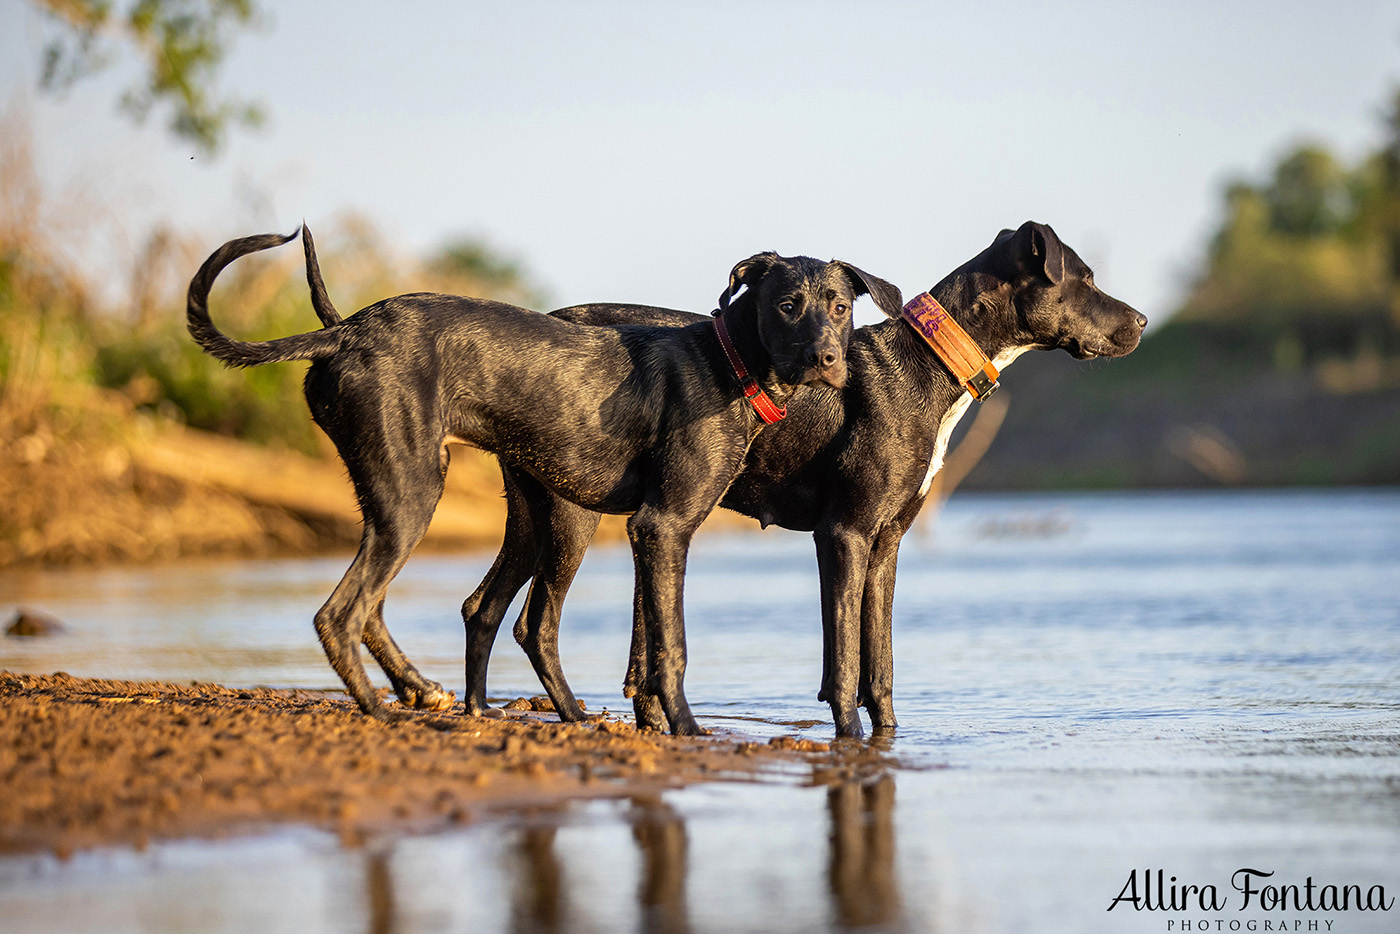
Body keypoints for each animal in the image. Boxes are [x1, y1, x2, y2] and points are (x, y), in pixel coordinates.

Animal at [186, 224, 896, 728]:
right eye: (787, 305)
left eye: (840, 307)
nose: (828, 359)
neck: (729, 361)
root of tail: (345, 331)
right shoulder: (664, 527)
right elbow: (670, 647)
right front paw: (689, 732)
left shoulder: (649, 534)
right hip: (437, 498)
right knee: (346, 614)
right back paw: (383, 710)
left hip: (449, 505)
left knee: (449, 610)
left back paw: (471, 703)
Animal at [422, 219, 1136, 739]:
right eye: (1086, 278)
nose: (1141, 322)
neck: (923, 365)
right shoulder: (843, 534)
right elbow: (843, 659)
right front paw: (849, 736)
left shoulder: (885, 544)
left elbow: (879, 661)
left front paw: (888, 736)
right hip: (573, 513)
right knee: (534, 620)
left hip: (534, 514)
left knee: (483, 607)